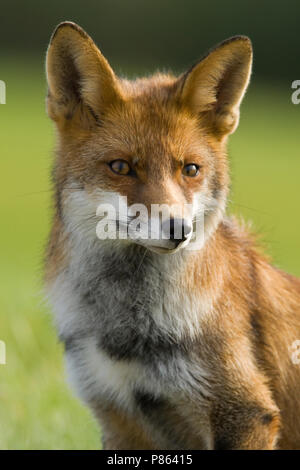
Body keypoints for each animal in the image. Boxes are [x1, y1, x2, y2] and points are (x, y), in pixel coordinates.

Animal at [44, 21, 300, 448]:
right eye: (121, 167)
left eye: (190, 170)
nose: (180, 229)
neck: (129, 329)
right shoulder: (117, 417)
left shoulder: (246, 412)